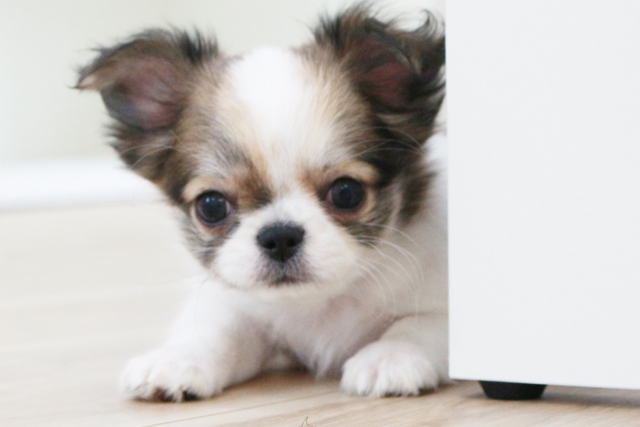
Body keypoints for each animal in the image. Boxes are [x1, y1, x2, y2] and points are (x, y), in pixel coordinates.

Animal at [77, 4, 447, 401]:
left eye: (347, 192)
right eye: (211, 206)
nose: (280, 236)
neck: (319, 303)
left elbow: (419, 324)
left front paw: (390, 357)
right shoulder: (236, 306)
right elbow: (215, 333)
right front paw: (176, 360)